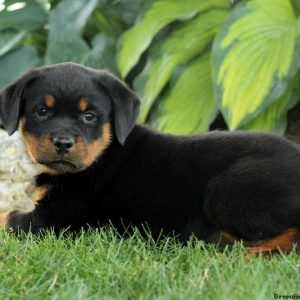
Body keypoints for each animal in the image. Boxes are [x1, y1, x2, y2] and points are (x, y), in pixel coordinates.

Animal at [0, 62, 300, 253]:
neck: (103, 154)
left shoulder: (55, 220)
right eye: (42, 111)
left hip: (227, 193)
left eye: (89, 116)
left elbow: (7, 217)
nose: (63, 143)